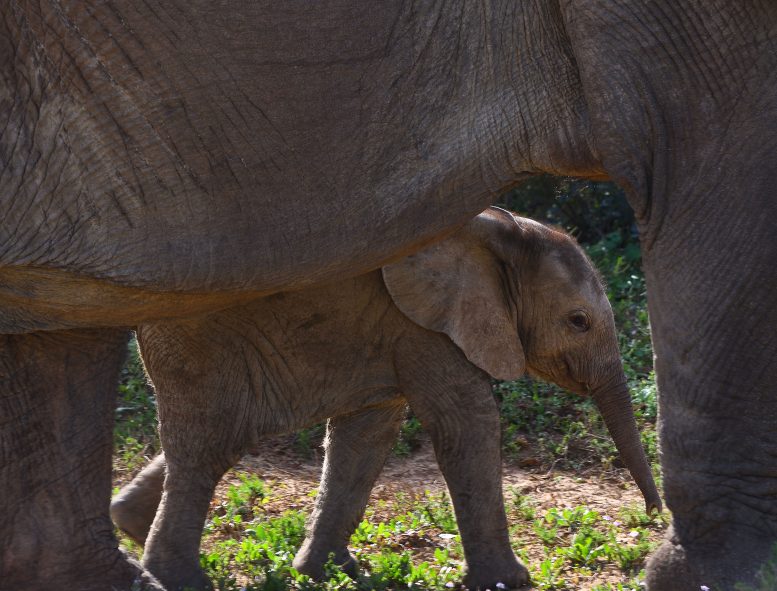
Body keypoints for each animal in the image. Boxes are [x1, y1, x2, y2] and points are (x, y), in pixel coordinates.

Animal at [109, 207, 661, 590]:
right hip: (201, 337)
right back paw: (177, 578)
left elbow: (367, 433)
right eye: (578, 322)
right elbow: (467, 421)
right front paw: (511, 582)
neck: (499, 233)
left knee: (228, 436)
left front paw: (328, 572)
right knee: (212, 443)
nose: (655, 515)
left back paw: (129, 525)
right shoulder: (426, 324)